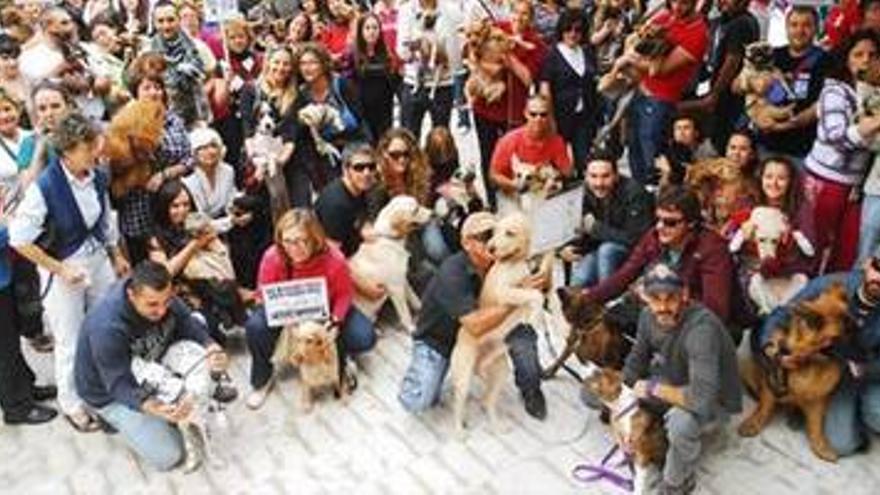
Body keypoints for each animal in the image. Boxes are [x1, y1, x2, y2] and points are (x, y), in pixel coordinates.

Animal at [348, 195, 434, 334]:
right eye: (415, 209)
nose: (433, 213)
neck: (389, 238)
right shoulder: (395, 287)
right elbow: (405, 313)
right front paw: (411, 328)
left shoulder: (402, 278)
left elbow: (413, 297)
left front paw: (420, 307)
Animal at [450, 213, 552, 438]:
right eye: (493, 232)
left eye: (510, 233)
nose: (491, 248)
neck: (514, 262)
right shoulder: (506, 292)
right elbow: (535, 294)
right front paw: (535, 316)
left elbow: (537, 297)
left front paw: (535, 316)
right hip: (464, 374)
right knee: (458, 403)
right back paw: (459, 431)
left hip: (500, 370)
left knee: (489, 401)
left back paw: (497, 426)